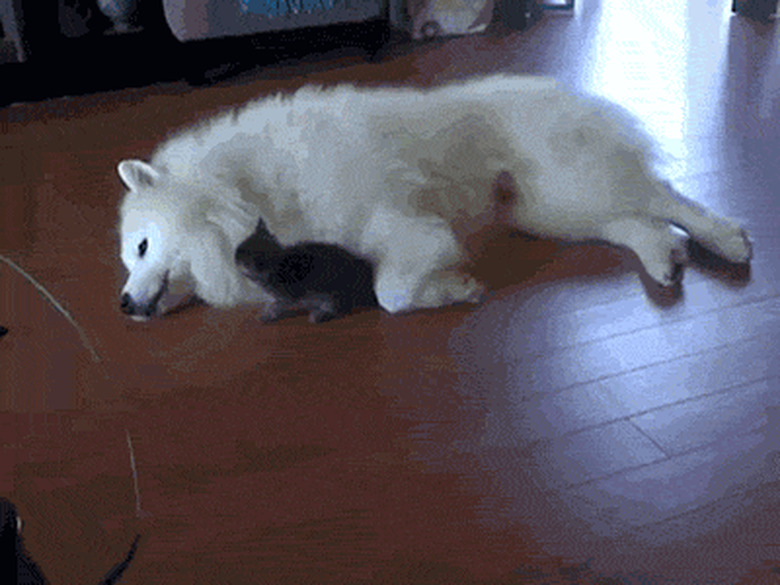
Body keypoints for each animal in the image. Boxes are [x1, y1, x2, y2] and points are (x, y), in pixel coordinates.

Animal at [119, 74, 752, 318]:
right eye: (128, 261)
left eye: (143, 248)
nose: (123, 304)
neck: (250, 191)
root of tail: (565, 90)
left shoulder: (404, 228)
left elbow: (391, 293)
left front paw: (454, 290)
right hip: (551, 211)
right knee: (636, 223)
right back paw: (665, 260)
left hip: (573, 187)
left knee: (665, 198)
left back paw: (728, 240)